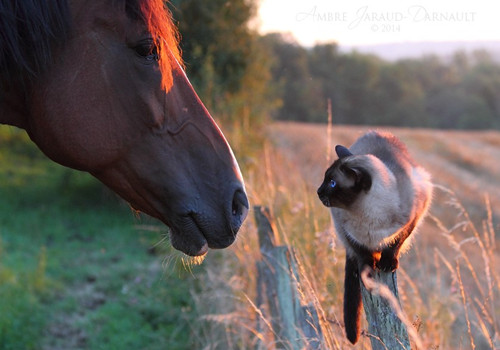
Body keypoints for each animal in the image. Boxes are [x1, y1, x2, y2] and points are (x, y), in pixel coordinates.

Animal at [318, 130, 432, 344]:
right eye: (325, 179)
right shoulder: (348, 232)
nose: (318, 191)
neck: (369, 216)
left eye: (332, 183)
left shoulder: (411, 221)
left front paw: (387, 264)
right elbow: (362, 253)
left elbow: (394, 245)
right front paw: (368, 269)